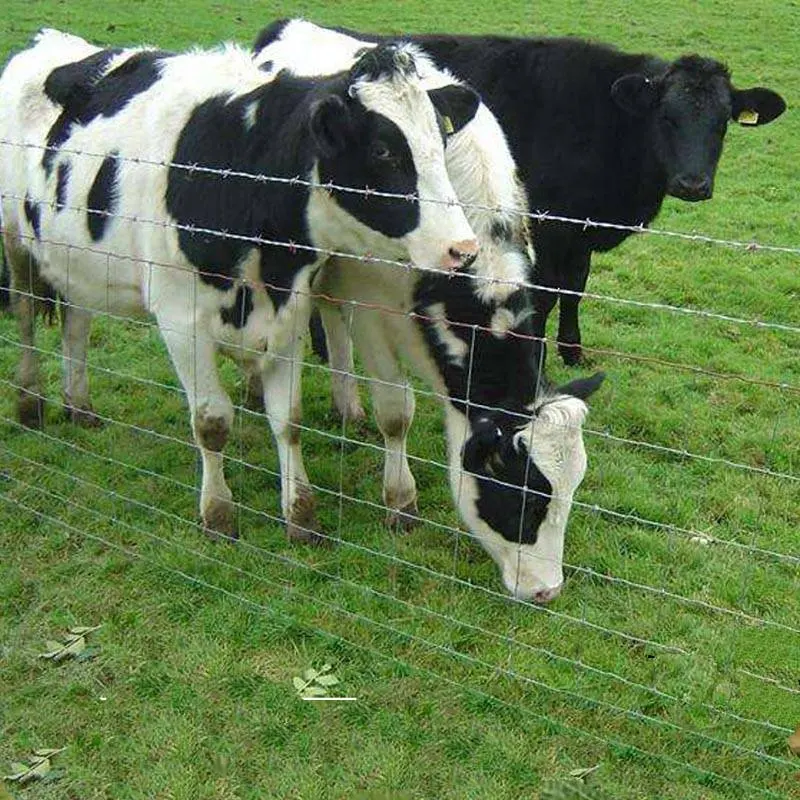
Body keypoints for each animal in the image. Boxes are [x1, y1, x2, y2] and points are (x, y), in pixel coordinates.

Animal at [0, 29, 482, 544]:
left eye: (441, 140)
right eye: (383, 151)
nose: (463, 248)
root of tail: (49, 41)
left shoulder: (290, 310)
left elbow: (288, 420)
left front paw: (300, 514)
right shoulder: (180, 319)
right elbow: (211, 421)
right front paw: (217, 514)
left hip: (76, 257)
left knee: (77, 323)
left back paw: (79, 405)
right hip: (15, 240)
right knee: (26, 317)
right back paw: (31, 404)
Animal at [253, 18, 604, 600]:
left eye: (571, 492)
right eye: (523, 496)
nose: (547, 591)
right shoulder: (374, 302)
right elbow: (396, 412)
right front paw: (401, 502)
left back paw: (347, 405)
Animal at [258, 21, 788, 366]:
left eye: (721, 122)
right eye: (667, 117)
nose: (693, 184)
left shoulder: (581, 228)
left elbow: (575, 288)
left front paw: (572, 350)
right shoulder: (550, 225)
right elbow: (549, 292)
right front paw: (538, 352)